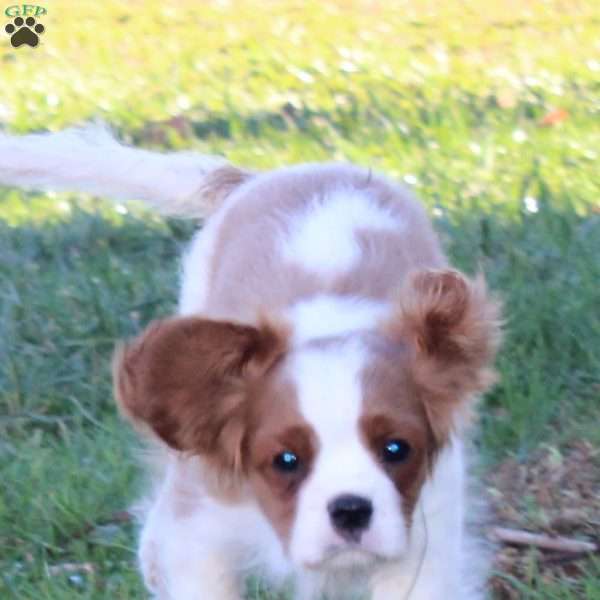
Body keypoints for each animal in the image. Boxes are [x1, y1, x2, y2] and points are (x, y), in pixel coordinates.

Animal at [0, 127, 502, 600]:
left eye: (396, 449)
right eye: (286, 461)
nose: (350, 509)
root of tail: (263, 176)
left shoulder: (424, 534)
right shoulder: (204, 524)